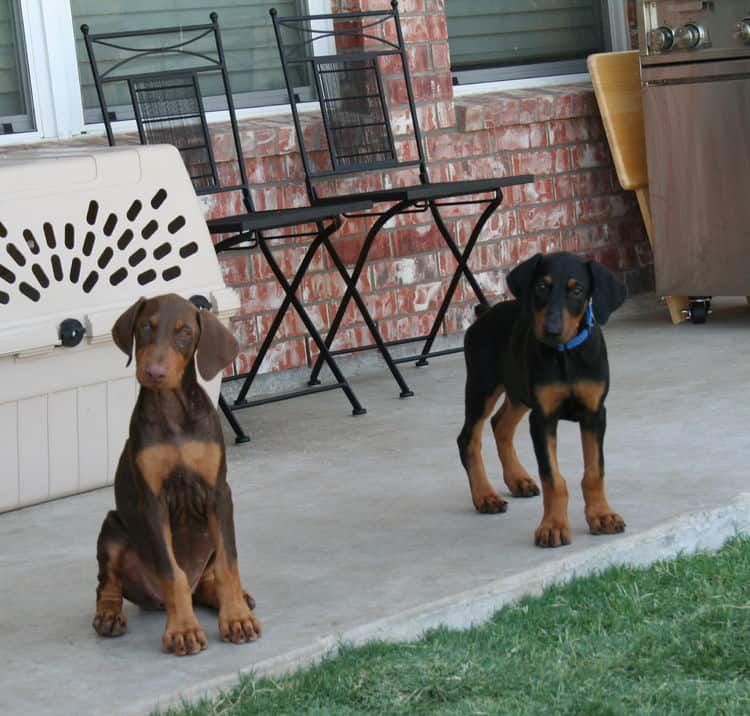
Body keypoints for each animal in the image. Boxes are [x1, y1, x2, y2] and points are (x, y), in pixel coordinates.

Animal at [93, 290, 262, 656]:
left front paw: (237, 619)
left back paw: (237, 599)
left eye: (185, 332)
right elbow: (173, 574)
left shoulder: (218, 494)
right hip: (113, 528)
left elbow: (229, 564)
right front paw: (183, 630)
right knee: (107, 584)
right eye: (145, 326)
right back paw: (109, 616)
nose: (154, 372)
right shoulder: (152, 502)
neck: (172, 410)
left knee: (208, 581)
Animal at [458, 252, 628, 548]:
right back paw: (485, 496)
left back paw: (518, 480)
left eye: (577, 290)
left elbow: (595, 472)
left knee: (500, 424)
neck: (565, 354)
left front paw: (602, 515)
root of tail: (484, 314)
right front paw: (553, 527)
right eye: (540, 287)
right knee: (469, 438)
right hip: (482, 385)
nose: (551, 330)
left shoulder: (595, 413)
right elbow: (552, 478)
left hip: (518, 390)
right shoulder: (542, 418)